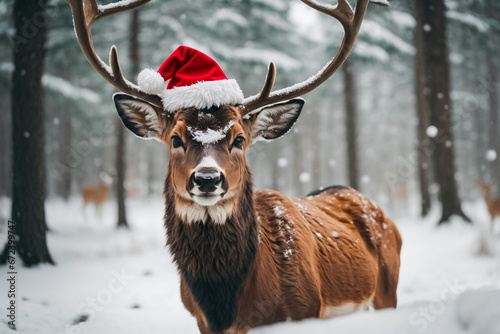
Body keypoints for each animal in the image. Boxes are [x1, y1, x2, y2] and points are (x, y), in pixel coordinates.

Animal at [66, 0, 402, 332]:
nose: (207, 178)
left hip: (387, 290)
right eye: (175, 138)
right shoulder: (201, 322)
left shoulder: (305, 310)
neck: (228, 310)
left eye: (239, 139)